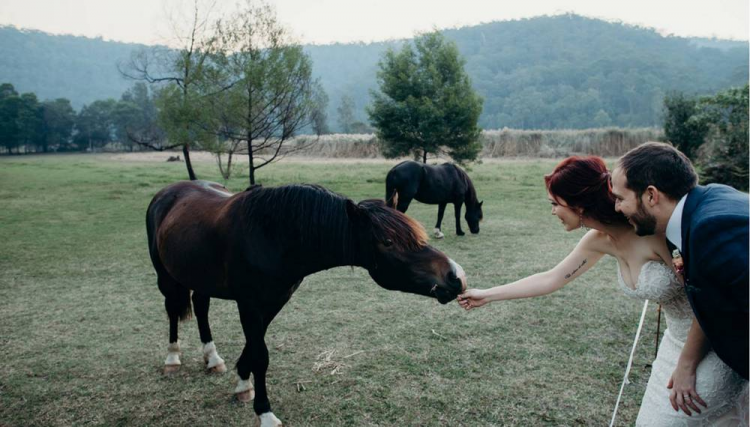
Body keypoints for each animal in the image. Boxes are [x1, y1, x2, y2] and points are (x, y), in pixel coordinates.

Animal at [144, 181, 468, 427]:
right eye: (388, 242)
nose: (456, 276)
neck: (272, 235)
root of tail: (168, 192)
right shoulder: (249, 303)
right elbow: (260, 354)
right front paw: (265, 413)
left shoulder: (274, 301)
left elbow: (254, 347)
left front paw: (242, 383)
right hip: (164, 275)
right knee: (172, 310)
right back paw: (172, 359)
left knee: (201, 307)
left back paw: (212, 359)